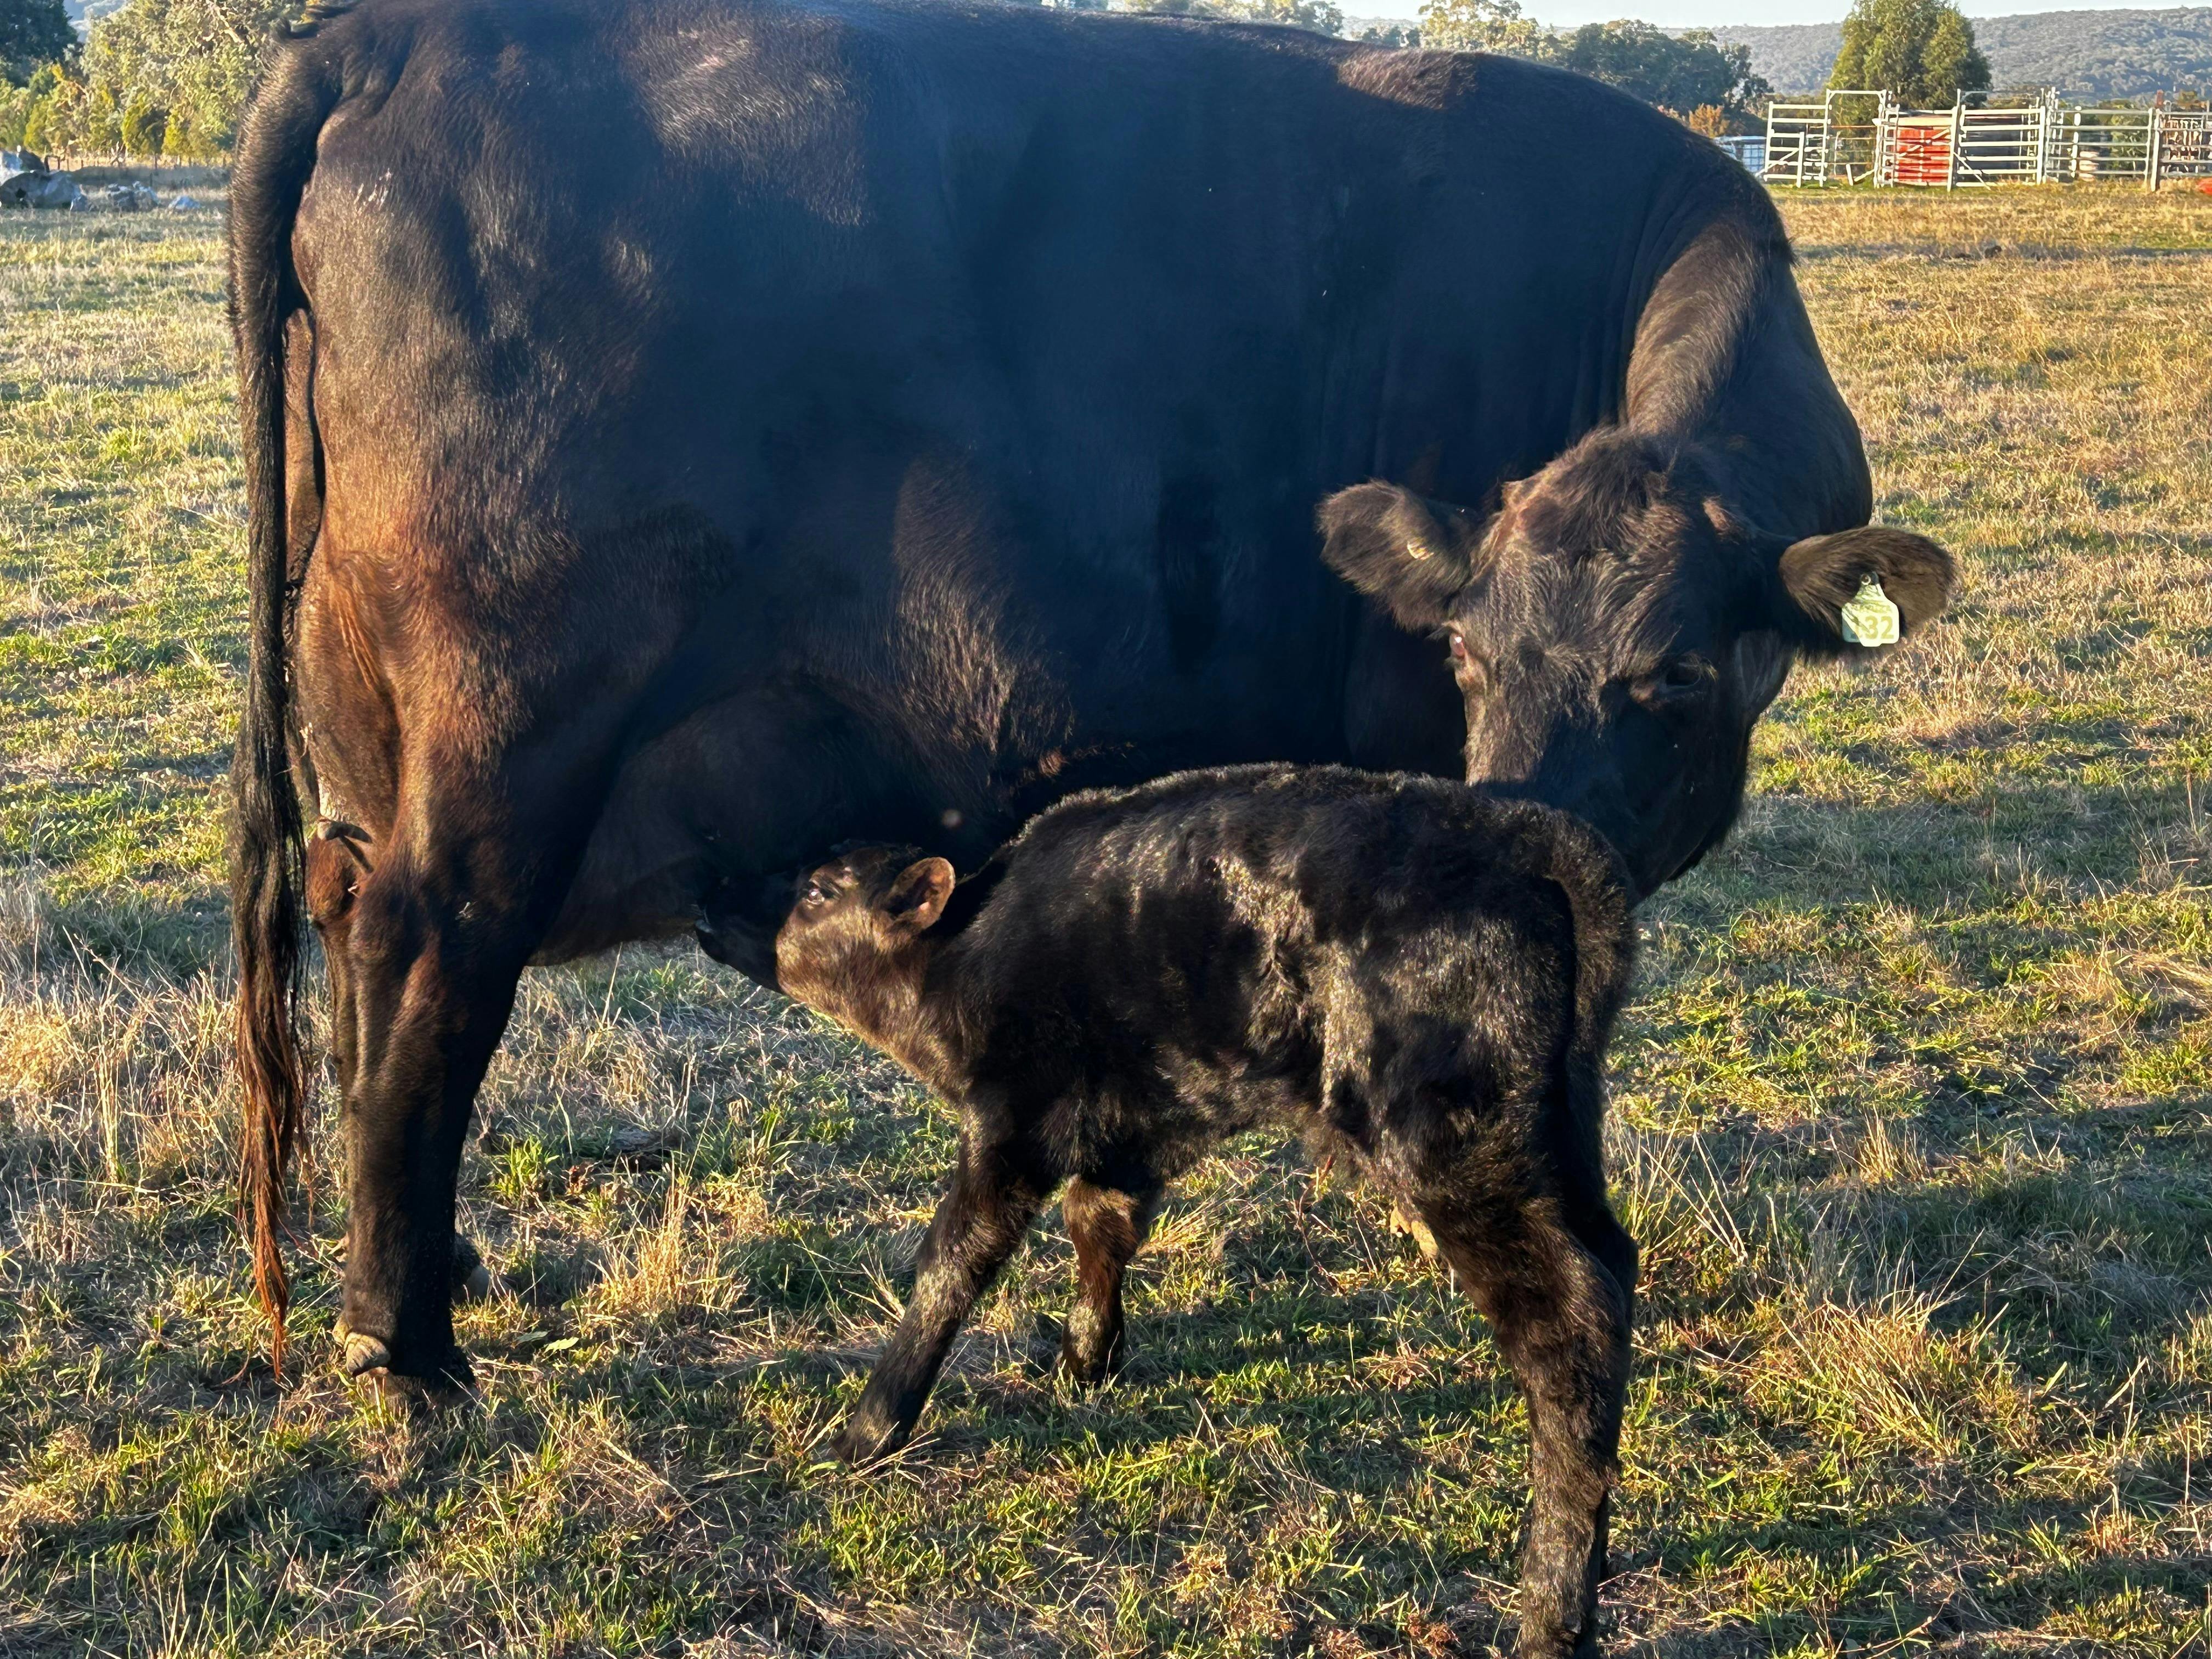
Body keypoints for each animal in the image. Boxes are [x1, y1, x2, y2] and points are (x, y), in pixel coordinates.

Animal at [227, 0, 1954, 1396]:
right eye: (1468, 653)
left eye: (1675, 672)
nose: (1535, 828)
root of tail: (391, 36)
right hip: (510, 733)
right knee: (431, 956)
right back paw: (406, 1345)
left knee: (357, 932)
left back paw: (434, 1270)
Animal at [772, 767, 1638, 1658]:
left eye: (821, 890)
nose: (768, 929)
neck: (963, 955)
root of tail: (1534, 844)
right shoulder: (1130, 1132)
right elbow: (1100, 1223)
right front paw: (1086, 1361)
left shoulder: (1012, 1127)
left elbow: (954, 1263)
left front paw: (865, 1434)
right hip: (1560, 1136)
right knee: (1615, 1264)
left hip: (1457, 1153)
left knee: (1567, 1321)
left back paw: (1551, 1612)